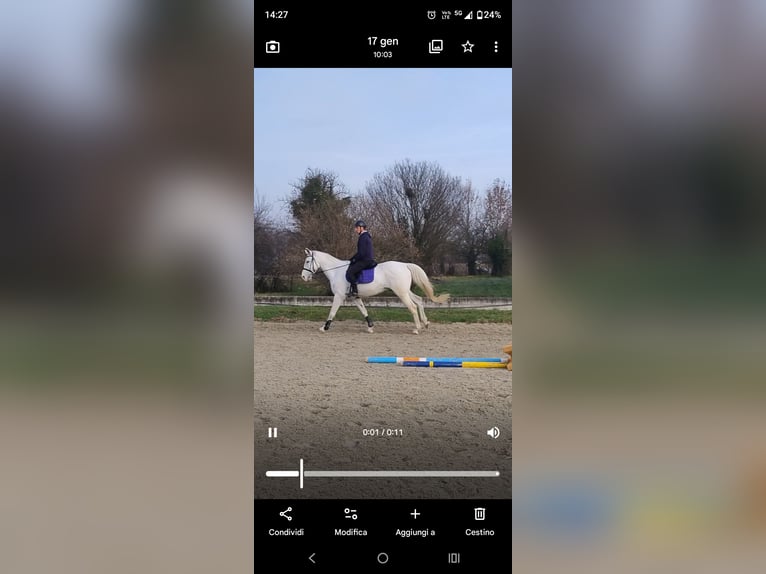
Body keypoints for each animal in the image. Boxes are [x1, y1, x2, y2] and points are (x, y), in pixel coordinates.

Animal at [301, 249, 450, 334]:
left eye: (308, 261)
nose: (303, 277)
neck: (336, 271)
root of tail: (405, 265)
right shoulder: (355, 297)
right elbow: (363, 310)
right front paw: (370, 327)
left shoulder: (339, 296)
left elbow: (332, 311)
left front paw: (324, 327)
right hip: (406, 291)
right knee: (419, 301)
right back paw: (426, 323)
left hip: (401, 293)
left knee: (412, 307)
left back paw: (417, 329)